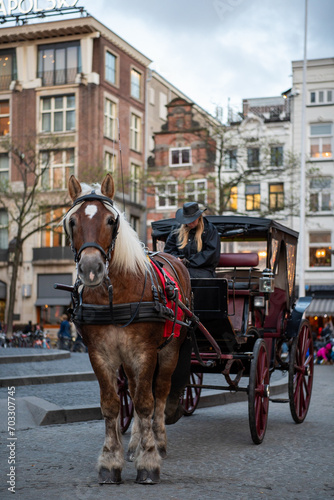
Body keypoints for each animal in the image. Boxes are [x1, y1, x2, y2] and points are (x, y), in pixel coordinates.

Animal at [64, 175, 192, 484]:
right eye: (72, 221)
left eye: (111, 220)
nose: (91, 268)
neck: (116, 294)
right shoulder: (100, 354)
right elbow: (112, 404)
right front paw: (111, 461)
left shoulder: (144, 352)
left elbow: (146, 403)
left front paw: (149, 461)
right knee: (133, 392)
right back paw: (134, 444)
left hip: (169, 350)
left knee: (159, 392)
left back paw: (158, 440)